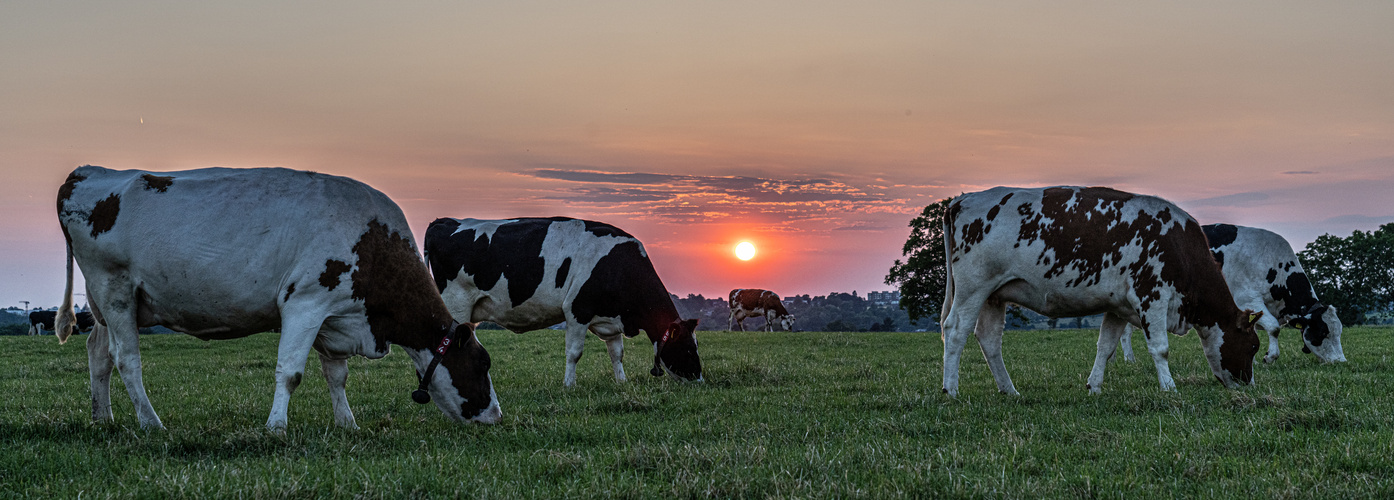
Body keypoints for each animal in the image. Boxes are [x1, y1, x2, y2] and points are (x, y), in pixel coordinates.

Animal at [55, 165, 501, 431]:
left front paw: (347, 424)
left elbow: (337, 376)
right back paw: (151, 423)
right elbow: (290, 372)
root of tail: (88, 172)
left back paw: (102, 418)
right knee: (126, 359)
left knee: (98, 353)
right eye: (483, 364)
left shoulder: (334, 316)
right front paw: (275, 428)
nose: (496, 414)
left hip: (105, 304)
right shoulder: (306, 302)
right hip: (115, 290)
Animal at [420, 215, 702, 387]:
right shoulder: (577, 310)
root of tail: (445, 221)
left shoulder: (610, 318)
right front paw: (569, 385)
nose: (700, 381)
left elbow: (617, 353)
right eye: (689, 348)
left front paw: (621, 381)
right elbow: (574, 352)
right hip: (456, 304)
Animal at [936, 186, 1265, 398]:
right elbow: (1160, 348)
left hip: (994, 294)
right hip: (973, 287)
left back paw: (1009, 390)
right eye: (1252, 346)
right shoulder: (1152, 295)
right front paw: (1169, 388)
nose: (1249, 384)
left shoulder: (1118, 306)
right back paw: (951, 390)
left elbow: (1105, 347)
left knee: (989, 339)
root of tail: (964, 198)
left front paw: (1094, 387)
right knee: (955, 330)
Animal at [1109, 225, 1338, 364]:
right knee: (1125, 332)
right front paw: (1269, 357)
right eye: (1322, 332)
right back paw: (1128, 359)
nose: (1340, 361)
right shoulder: (1247, 298)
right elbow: (1273, 327)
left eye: (1338, 331)